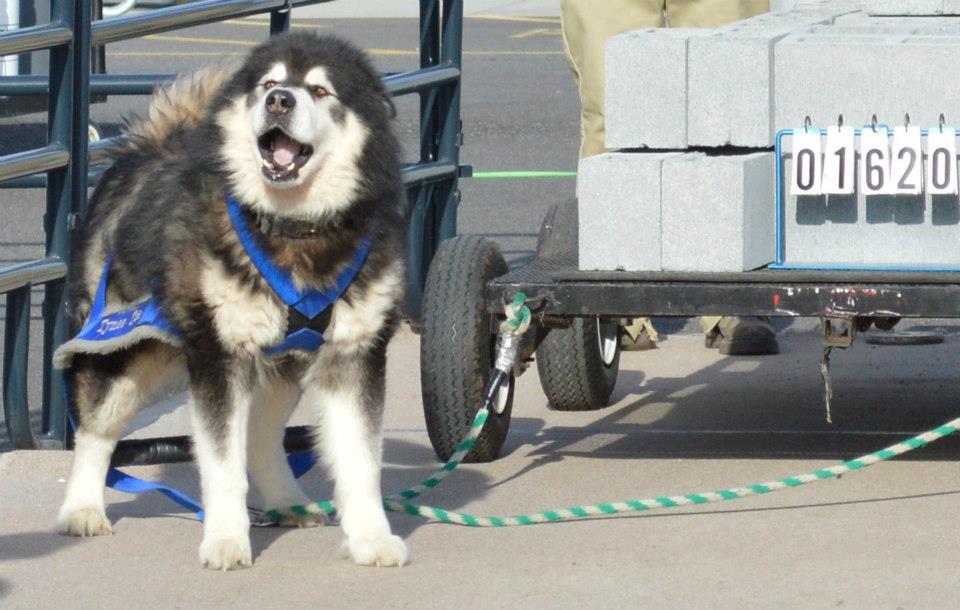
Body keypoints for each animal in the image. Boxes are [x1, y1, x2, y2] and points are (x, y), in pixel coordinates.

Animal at [53, 33, 408, 568]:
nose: (279, 100)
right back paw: (82, 509)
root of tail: (151, 145)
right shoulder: (219, 357)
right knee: (95, 432)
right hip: (126, 350)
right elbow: (222, 465)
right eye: (269, 83)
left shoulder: (354, 355)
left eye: (320, 90)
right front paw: (225, 539)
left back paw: (286, 501)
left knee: (261, 434)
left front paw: (371, 537)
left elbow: (361, 462)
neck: (294, 230)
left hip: (280, 364)